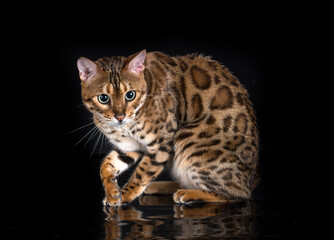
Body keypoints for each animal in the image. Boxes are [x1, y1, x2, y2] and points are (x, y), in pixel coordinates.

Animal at [77, 49, 260, 206]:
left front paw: (126, 195)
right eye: (103, 98)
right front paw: (112, 193)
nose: (120, 116)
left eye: (130, 95)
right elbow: (105, 166)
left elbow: (141, 174)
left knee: (237, 194)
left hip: (189, 139)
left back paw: (189, 193)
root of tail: (252, 180)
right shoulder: (128, 147)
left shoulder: (160, 144)